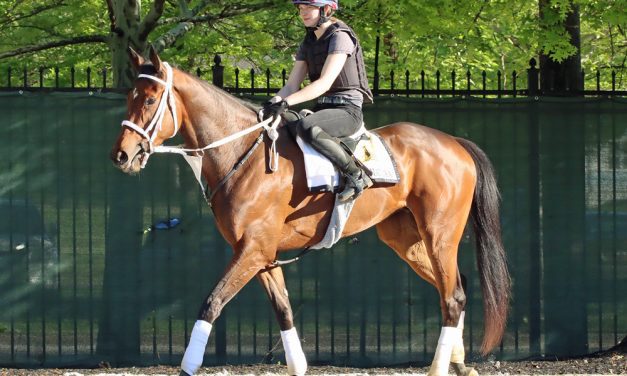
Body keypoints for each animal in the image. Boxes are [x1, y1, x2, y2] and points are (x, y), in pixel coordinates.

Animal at [109, 47, 510, 376]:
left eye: (150, 100)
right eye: (130, 97)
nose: (122, 155)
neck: (243, 152)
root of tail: (453, 142)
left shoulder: (251, 251)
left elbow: (211, 304)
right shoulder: (263, 256)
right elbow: (284, 311)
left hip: (439, 235)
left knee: (452, 297)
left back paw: (440, 367)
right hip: (405, 241)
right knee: (455, 287)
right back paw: (459, 362)